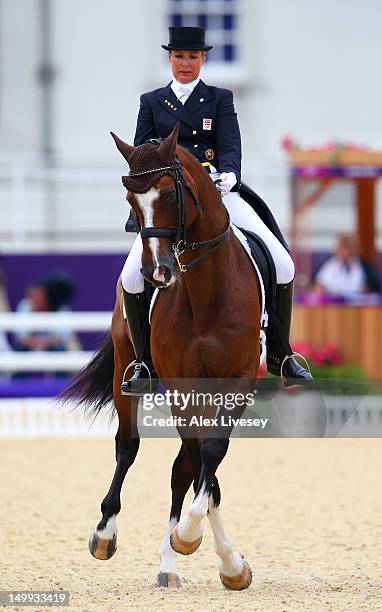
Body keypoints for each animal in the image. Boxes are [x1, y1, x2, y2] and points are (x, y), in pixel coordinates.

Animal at [62, 123, 262, 588]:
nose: (158, 273)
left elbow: (209, 456)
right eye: (131, 201)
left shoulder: (240, 378)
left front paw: (222, 558)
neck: (208, 293)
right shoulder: (180, 386)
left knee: (191, 464)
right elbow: (196, 462)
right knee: (128, 445)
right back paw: (109, 535)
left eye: (171, 194)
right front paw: (190, 541)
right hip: (126, 367)